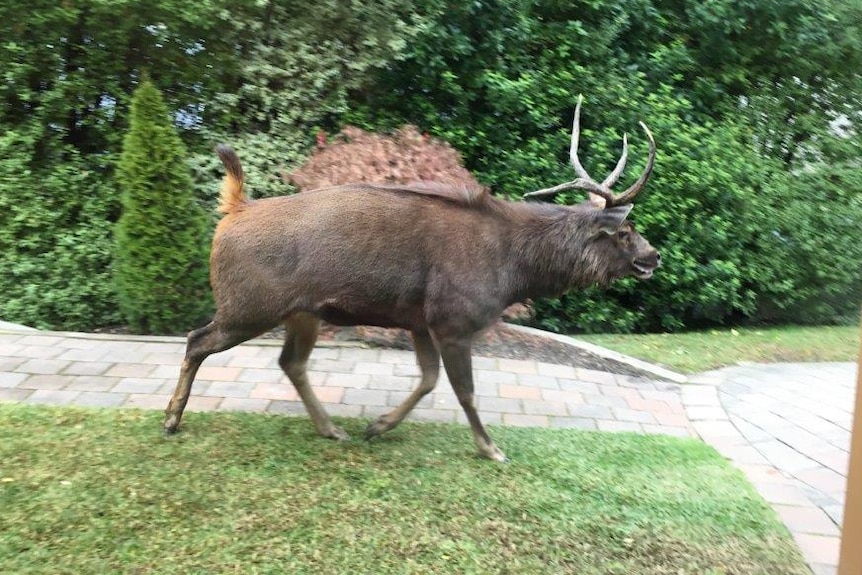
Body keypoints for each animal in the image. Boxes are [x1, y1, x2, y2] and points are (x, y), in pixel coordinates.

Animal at [164, 95, 660, 464]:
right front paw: (491, 448)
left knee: (290, 362)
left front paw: (378, 426)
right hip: (249, 304)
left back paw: (331, 429)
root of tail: (234, 209)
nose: (653, 256)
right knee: (197, 339)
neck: (512, 270)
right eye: (625, 232)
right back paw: (171, 419)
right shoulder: (453, 318)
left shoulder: (421, 320)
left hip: (300, 311)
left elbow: (428, 379)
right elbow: (465, 391)